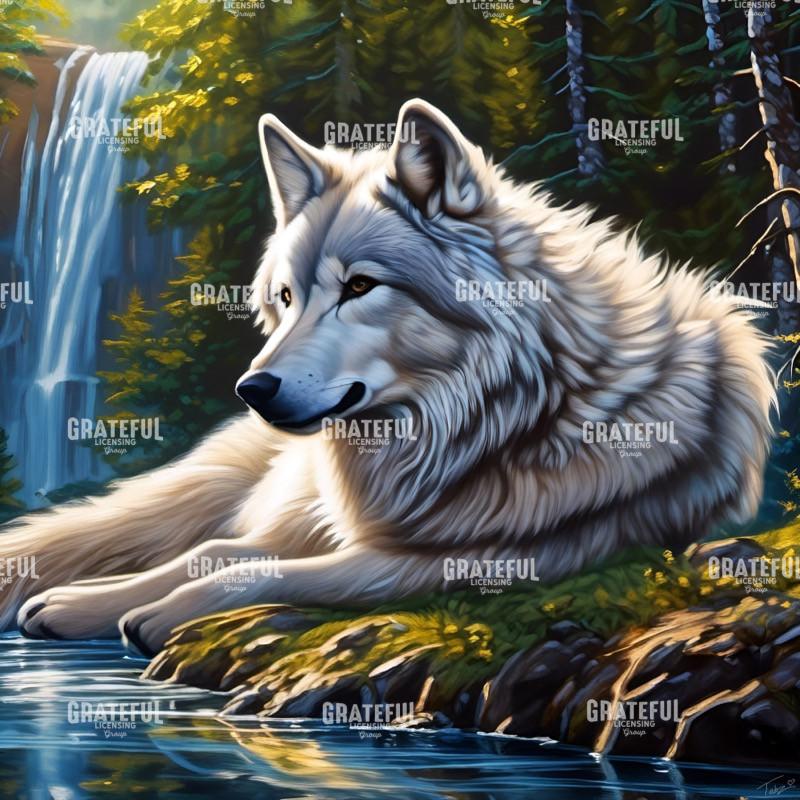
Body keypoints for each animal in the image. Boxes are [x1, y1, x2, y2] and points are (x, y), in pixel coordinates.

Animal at [0, 99, 773, 657]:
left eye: (360, 286)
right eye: (286, 298)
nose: (252, 390)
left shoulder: (464, 561)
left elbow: (248, 572)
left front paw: (154, 616)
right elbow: (220, 556)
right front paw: (100, 603)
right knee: (211, 539)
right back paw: (72, 601)